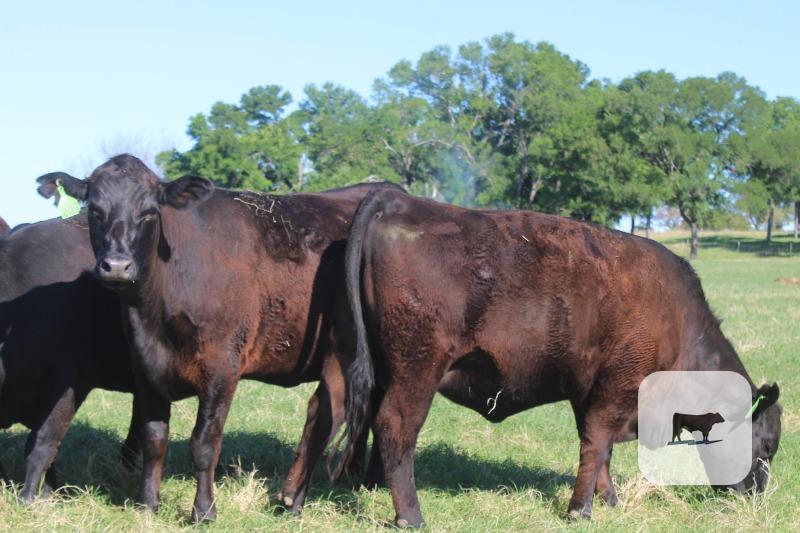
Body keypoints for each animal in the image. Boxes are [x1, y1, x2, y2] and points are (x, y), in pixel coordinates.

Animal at [43, 154, 401, 522]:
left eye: (150, 212)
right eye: (94, 210)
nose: (116, 266)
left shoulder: (221, 369)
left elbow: (204, 444)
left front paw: (204, 510)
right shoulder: (146, 367)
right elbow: (154, 439)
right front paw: (148, 504)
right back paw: (361, 477)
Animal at [341, 188, 782, 526]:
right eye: (767, 444)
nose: (757, 495)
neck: (678, 319)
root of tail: (400, 201)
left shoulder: (590, 391)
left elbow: (598, 448)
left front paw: (607, 499)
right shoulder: (618, 386)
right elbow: (597, 442)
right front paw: (579, 510)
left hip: (387, 371)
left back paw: (373, 486)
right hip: (417, 371)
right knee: (396, 428)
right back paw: (411, 516)